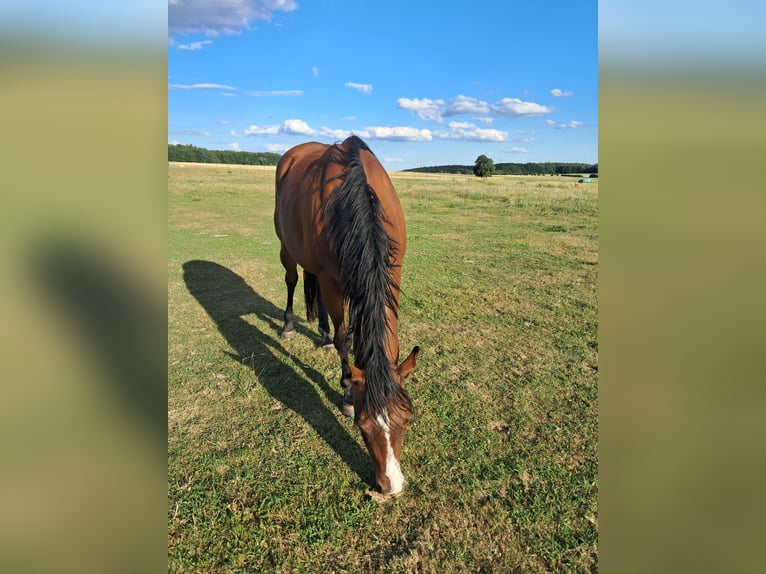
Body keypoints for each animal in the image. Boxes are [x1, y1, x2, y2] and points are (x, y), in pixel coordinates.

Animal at [274, 135, 419, 495]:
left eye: (407, 418)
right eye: (363, 426)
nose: (391, 485)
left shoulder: (393, 271)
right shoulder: (331, 280)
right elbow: (345, 339)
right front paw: (346, 392)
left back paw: (322, 335)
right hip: (287, 246)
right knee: (292, 279)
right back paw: (288, 326)